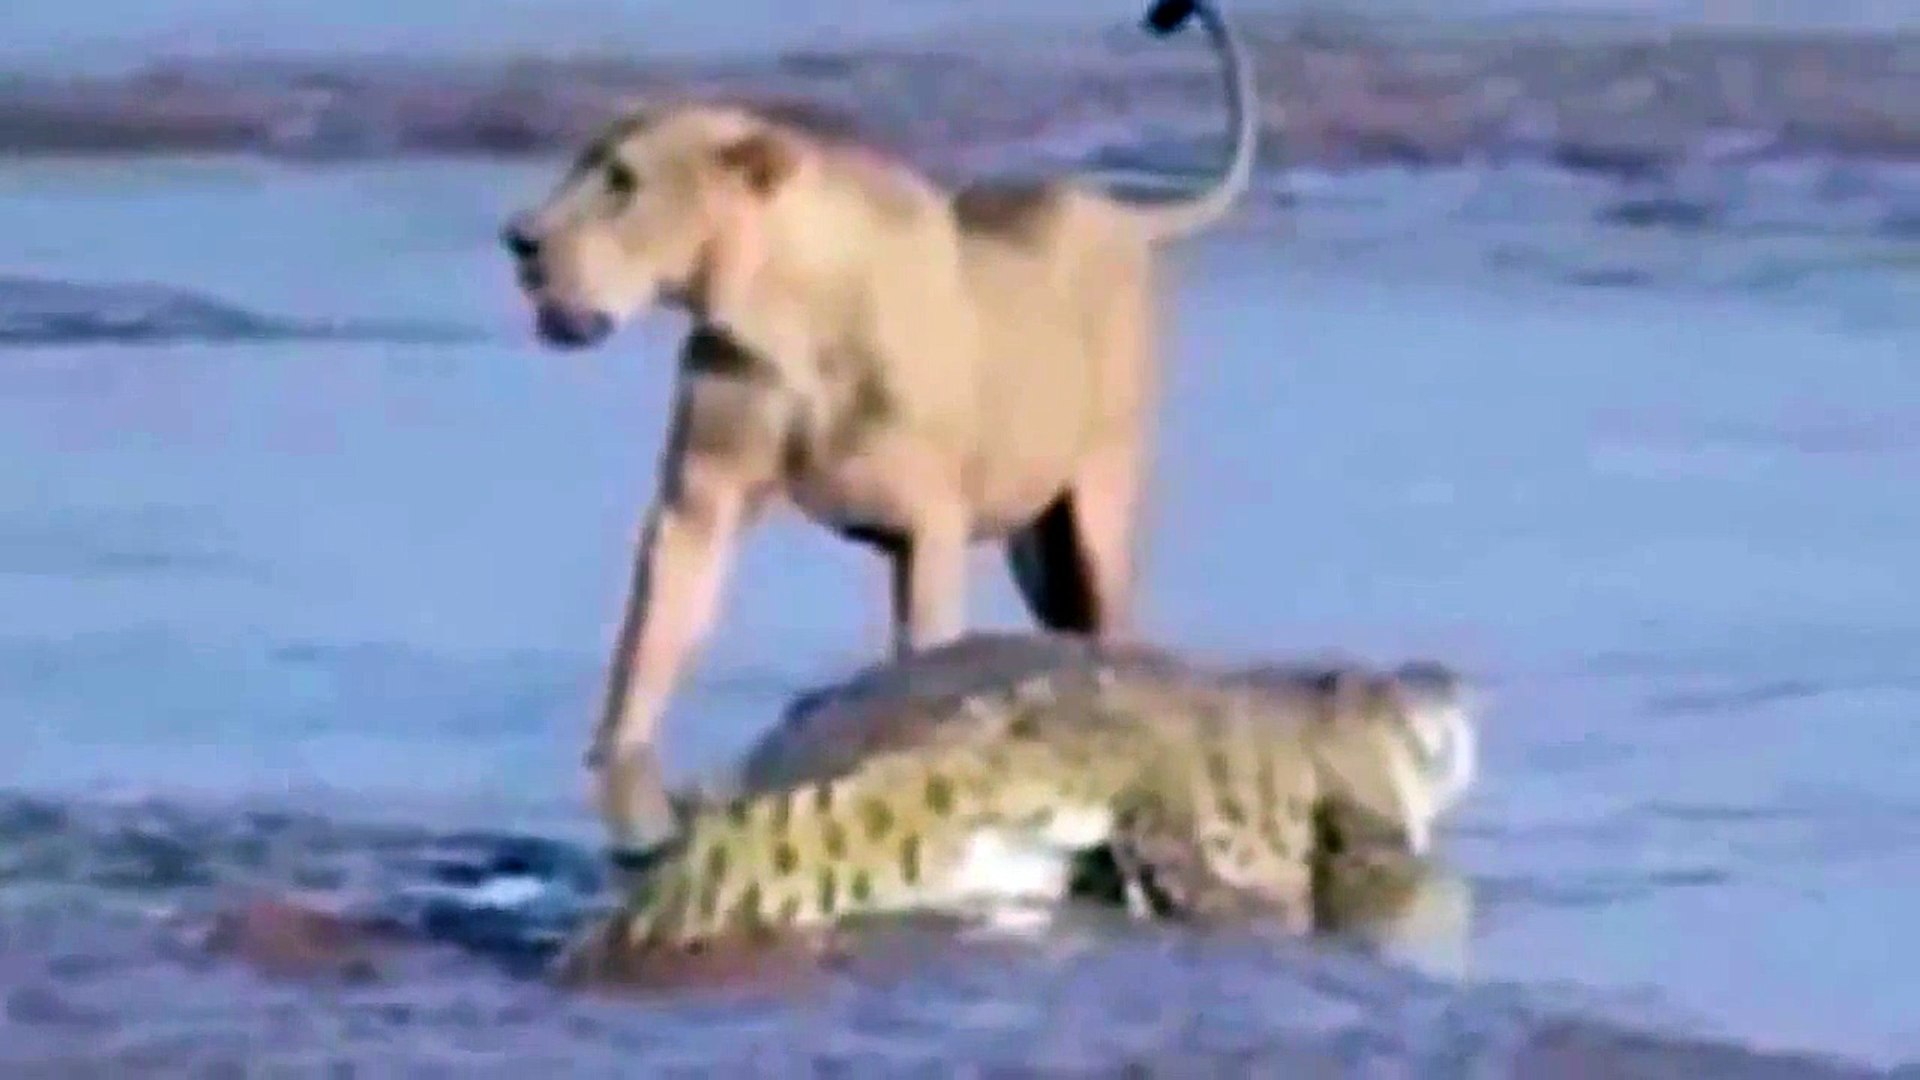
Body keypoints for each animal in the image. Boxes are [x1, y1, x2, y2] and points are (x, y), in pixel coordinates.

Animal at [498, 1, 1260, 859]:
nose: (519, 239)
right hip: (1035, 544)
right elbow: (650, 634)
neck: (779, 315)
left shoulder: (929, 524)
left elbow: (924, 648)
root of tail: (1121, 210)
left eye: (622, 183)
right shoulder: (701, 499)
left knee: (1109, 614)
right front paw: (617, 767)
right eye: (582, 167)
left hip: (1098, 498)